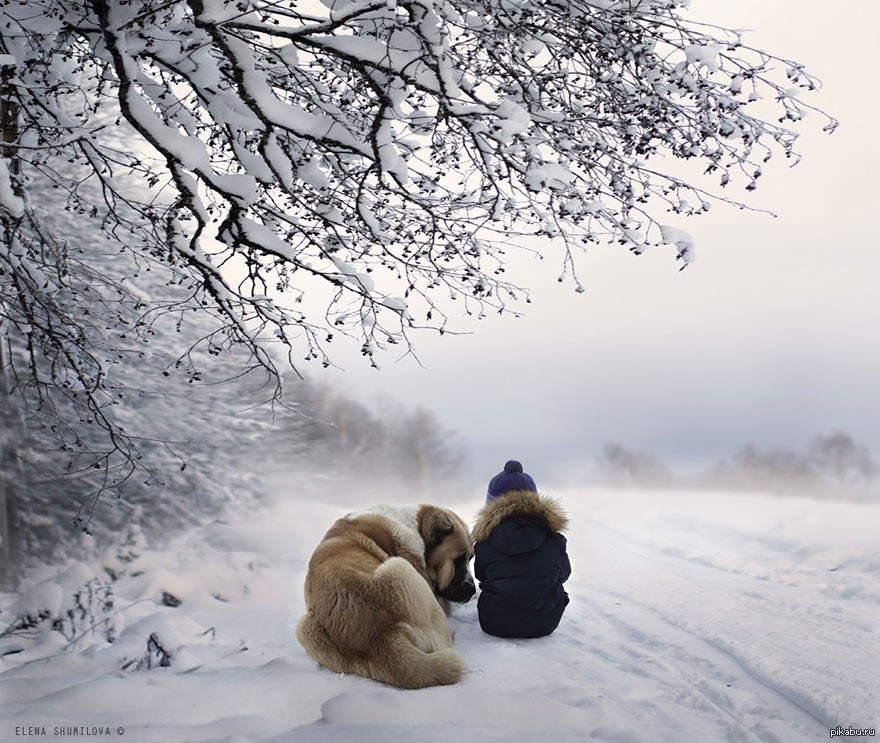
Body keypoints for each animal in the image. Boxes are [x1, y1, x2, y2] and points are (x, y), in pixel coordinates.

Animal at [296, 506, 474, 692]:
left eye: (470, 558)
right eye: (459, 560)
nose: (472, 589)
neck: (415, 527)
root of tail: (381, 635)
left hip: (304, 628)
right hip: (399, 566)